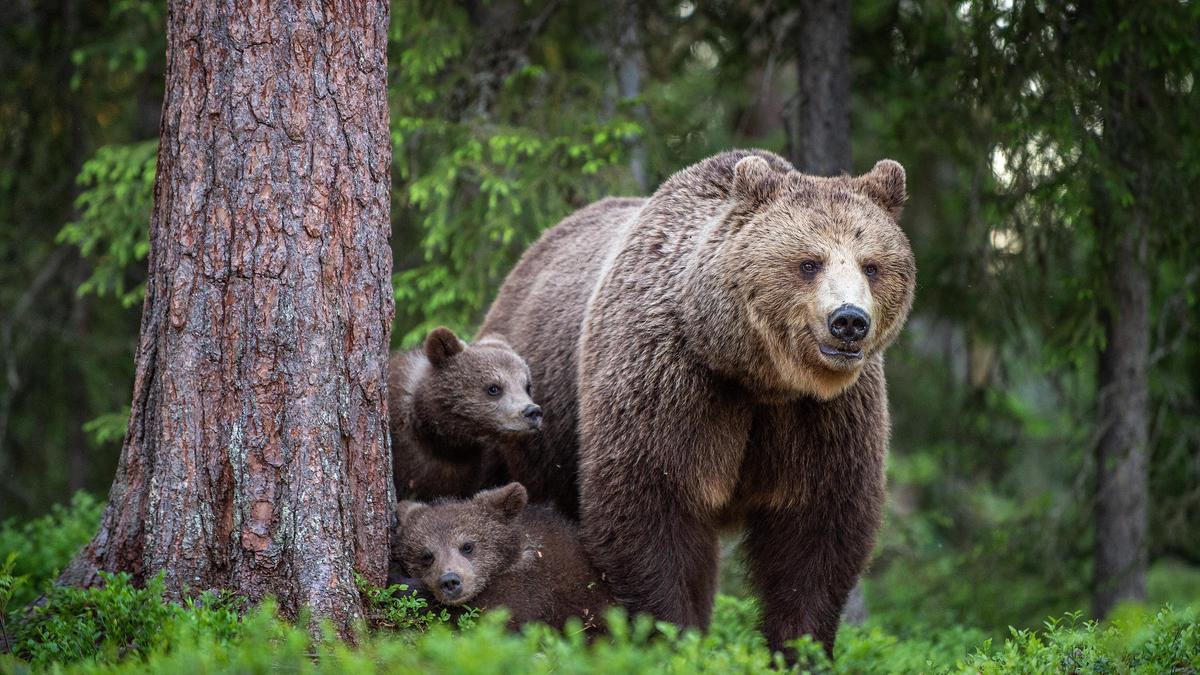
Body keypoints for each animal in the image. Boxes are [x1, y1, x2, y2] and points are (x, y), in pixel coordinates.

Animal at [477, 149, 907, 653]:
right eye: (808, 262)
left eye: (871, 265)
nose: (849, 321)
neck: (755, 373)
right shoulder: (671, 385)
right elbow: (651, 509)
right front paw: (672, 635)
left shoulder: (822, 415)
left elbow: (817, 531)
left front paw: (798, 647)